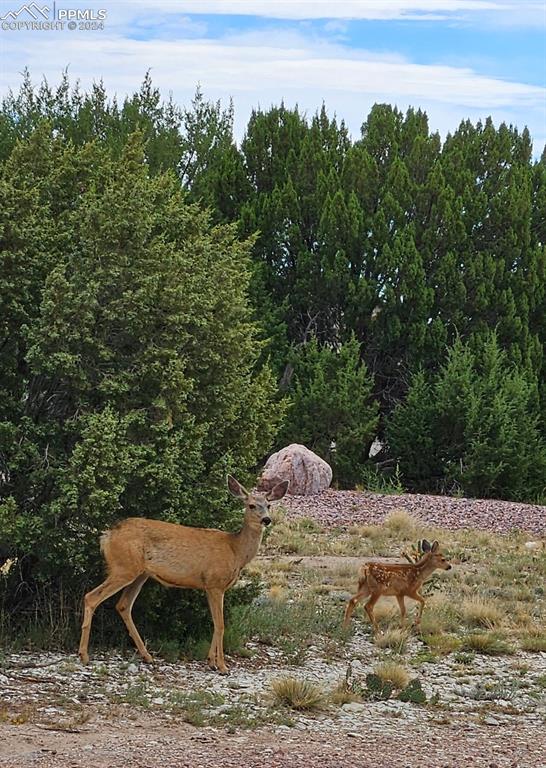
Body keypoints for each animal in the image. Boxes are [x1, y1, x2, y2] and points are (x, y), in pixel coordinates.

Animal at [79, 474, 288, 672]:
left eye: (269, 505)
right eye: (251, 505)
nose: (266, 519)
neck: (235, 550)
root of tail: (107, 536)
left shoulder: (210, 586)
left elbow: (215, 623)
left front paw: (211, 662)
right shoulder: (215, 583)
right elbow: (220, 624)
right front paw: (222, 667)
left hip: (139, 574)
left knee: (123, 605)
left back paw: (147, 656)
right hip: (124, 567)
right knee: (91, 597)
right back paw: (84, 655)